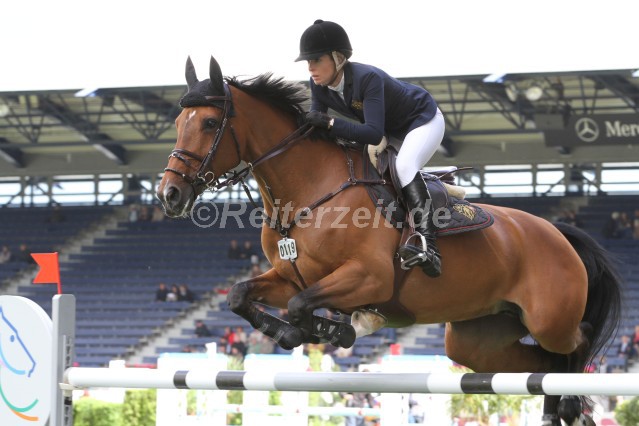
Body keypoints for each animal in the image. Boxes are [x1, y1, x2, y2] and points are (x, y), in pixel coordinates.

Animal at [158, 57, 624, 426]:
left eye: (210, 122)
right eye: (179, 123)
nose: (169, 195)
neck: (309, 192)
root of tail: (559, 233)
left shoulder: (370, 277)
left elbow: (301, 305)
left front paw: (331, 328)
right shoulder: (291, 275)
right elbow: (242, 295)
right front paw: (292, 330)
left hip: (549, 320)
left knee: (578, 342)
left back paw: (573, 405)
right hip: (479, 337)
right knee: (539, 367)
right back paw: (557, 410)